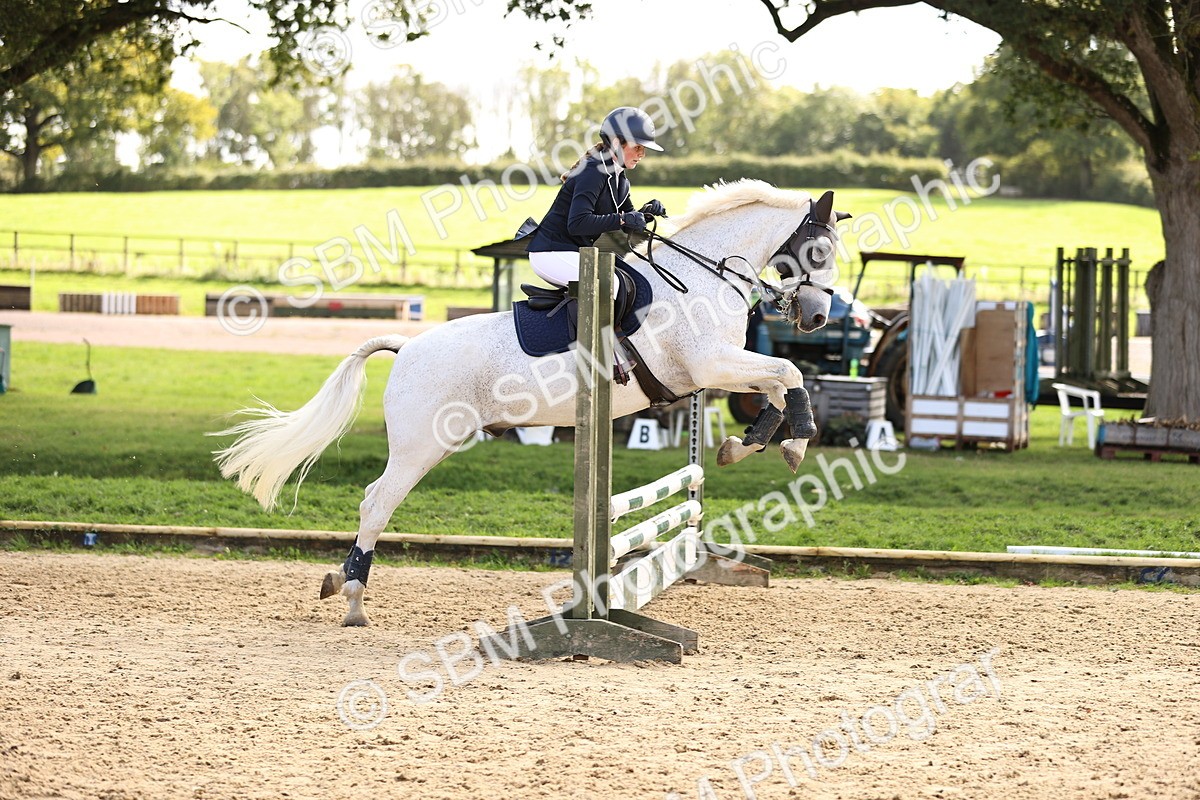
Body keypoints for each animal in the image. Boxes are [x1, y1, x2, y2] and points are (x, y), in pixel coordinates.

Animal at [211, 179, 849, 627]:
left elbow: (777, 384)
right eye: (817, 251)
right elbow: (790, 370)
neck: (704, 279)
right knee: (376, 503)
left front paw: (753, 444)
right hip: (422, 446)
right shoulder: (709, 366)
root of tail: (407, 346)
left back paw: (335, 583)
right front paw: (794, 441)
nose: (818, 317)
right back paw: (353, 602)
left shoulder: (719, 371)